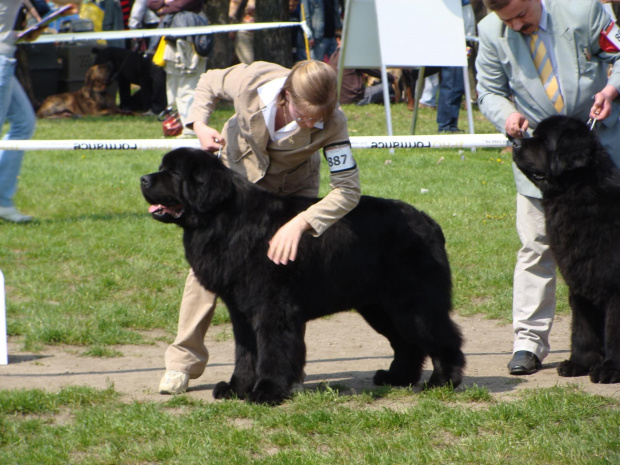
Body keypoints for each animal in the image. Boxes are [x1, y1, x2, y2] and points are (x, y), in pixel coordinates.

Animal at [142, 149, 464, 402]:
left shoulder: (273, 307)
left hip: (412, 304)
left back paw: (442, 382)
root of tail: (428, 222)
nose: (144, 179)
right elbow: (245, 352)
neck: (225, 220)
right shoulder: (240, 310)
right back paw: (397, 377)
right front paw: (237, 388)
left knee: (443, 337)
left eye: (173, 173)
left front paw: (267, 391)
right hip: (379, 307)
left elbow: (271, 350)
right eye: (161, 168)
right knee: (406, 343)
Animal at [512, 114, 620, 382]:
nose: (514, 142)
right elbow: (581, 329)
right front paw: (579, 363)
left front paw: (610, 369)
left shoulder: (614, 287)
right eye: (532, 134)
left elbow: (614, 331)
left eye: (544, 141)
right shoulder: (579, 280)